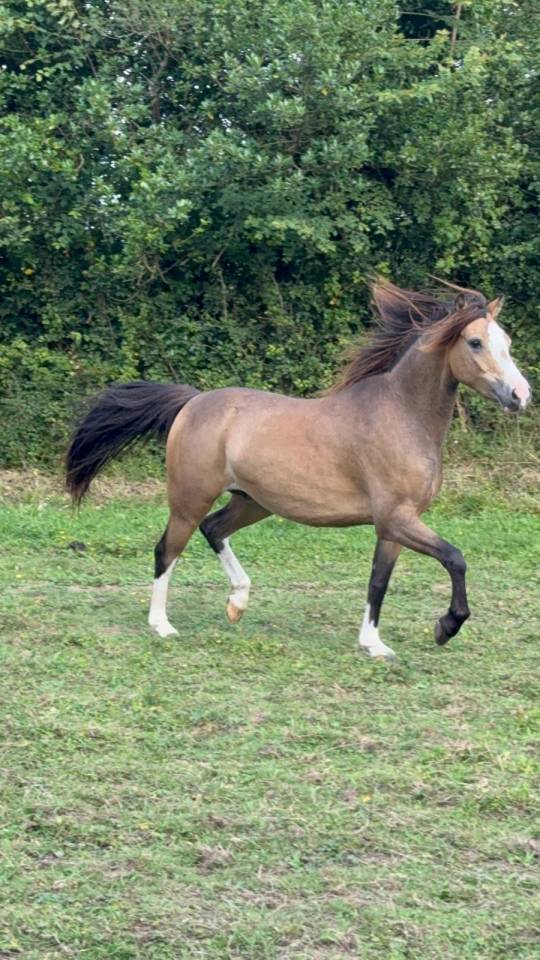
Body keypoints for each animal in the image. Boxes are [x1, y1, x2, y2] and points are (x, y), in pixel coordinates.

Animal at [65, 279, 531, 660]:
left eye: (507, 340)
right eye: (475, 342)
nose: (520, 395)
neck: (400, 415)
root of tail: (192, 402)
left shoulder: (394, 525)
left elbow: (378, 582)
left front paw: (373, 643)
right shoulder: (396, 518)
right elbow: (455, 558)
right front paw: (445, 627)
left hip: (253, 502)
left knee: (213, 529)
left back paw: (237, 603)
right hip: (189, 498)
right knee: (168, 549)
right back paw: (162, 625)